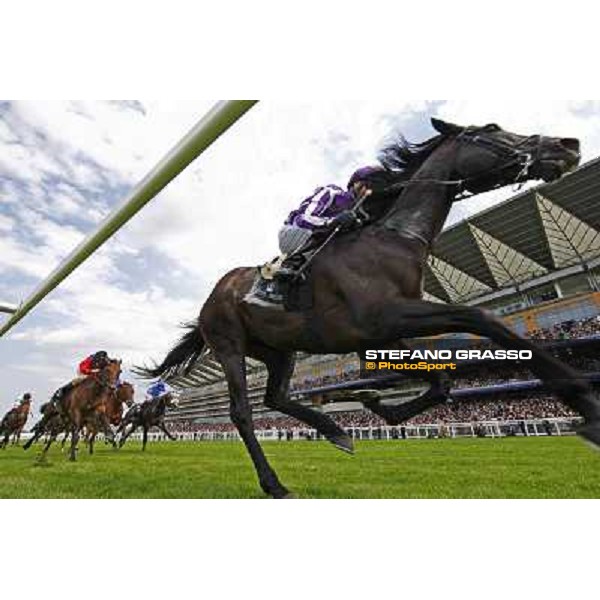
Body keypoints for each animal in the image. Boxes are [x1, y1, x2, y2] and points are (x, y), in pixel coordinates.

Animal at [139, 117, 596, 496]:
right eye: (491, 129)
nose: (566, 144)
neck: (395, 238)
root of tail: (211, 299)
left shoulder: (384, 330)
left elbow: (441, 379)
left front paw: (377, 403)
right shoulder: (386, 317)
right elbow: (482, 318)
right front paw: (585, 403)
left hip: (279, 350)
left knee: (275, 398)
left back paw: (336, 430)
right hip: (229, 344)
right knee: (243, 412)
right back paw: (274, 482)